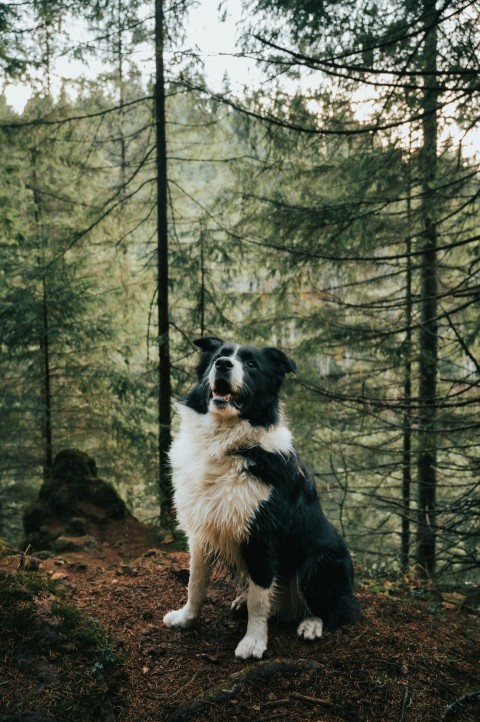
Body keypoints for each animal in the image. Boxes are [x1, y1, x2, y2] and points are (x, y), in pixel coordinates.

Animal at [163, 338, 358, 660]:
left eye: (252, 365)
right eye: (218, 357)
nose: (223, 365)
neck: (226, 444)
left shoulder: (261, 537)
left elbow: (259, 599)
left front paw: (253, 642)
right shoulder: (202, 531)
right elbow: (196, 583)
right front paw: (186, 617)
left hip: (321, 558)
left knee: (335, 609)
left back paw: (311, 624)